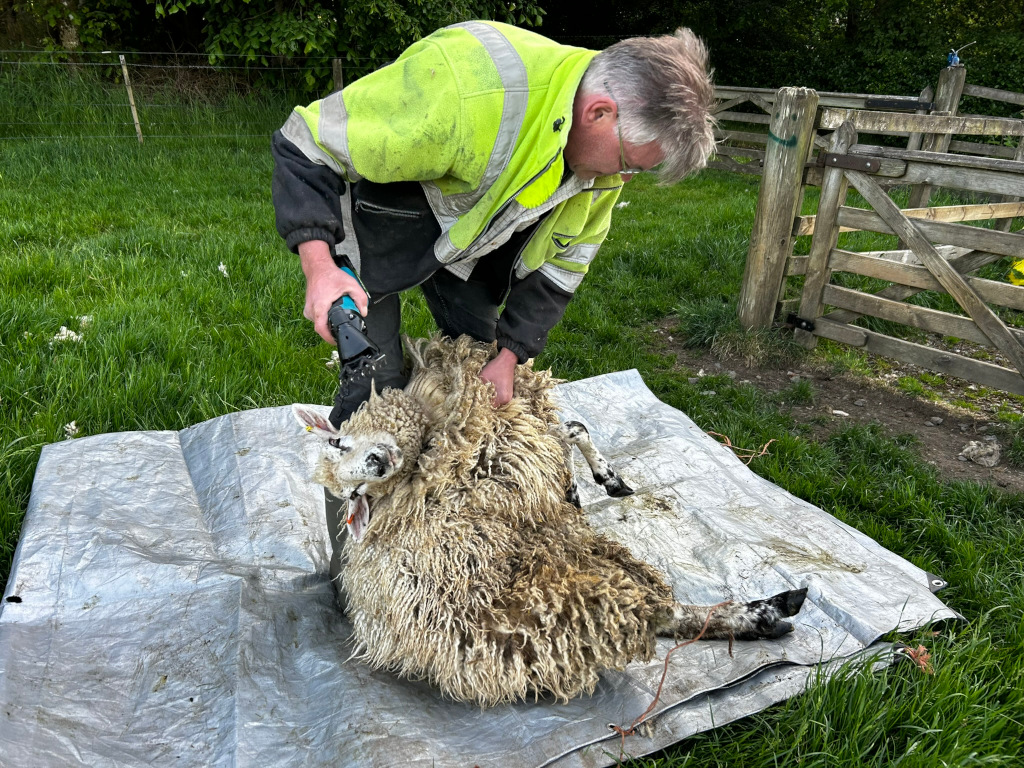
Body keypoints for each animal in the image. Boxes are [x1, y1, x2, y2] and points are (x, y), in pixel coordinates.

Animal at [293, 335, 807, 707]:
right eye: (355, 494)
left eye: (338, 442)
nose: (377, 463)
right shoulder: (519, 453)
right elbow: (570, 434)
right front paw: (596, 479)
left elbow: (572, 432)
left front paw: (596, 480)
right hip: (570, 595)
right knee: (665, 613)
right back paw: (769, 612)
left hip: (577, 557)